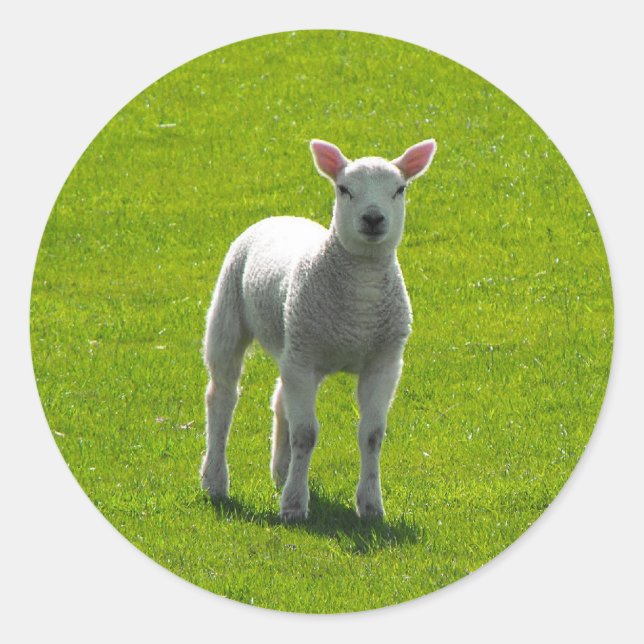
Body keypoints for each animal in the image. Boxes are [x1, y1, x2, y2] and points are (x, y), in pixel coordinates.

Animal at [200, 138, 437, 521]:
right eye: (344, 189)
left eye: (400, 189)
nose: (373, 218)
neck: (360, 301)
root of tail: (282, 216)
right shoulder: (304, 360)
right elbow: (306, 435)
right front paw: (294, 506)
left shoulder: (383, 362)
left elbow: (372, 434)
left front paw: (371, 506)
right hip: (230, 313)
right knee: (222, 396)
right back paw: (215, 481)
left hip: (296, 343)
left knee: (279, 397)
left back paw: (281, 472)